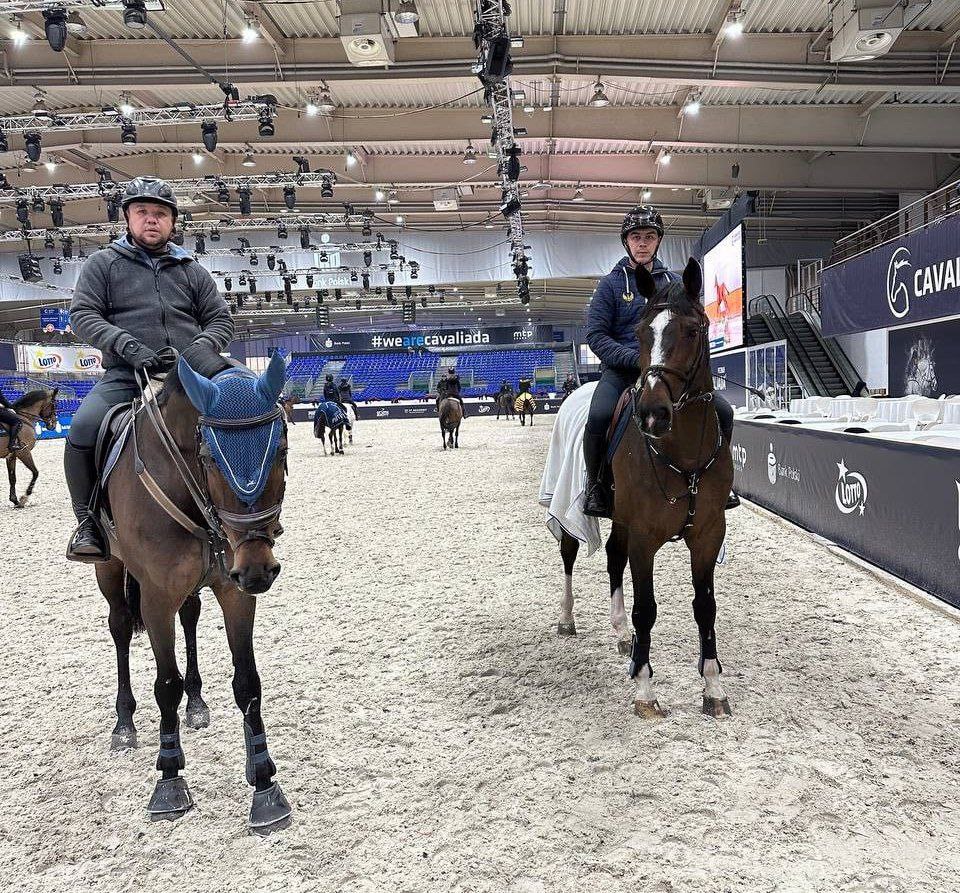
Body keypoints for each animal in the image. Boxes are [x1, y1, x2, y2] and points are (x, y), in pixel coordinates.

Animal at [91, 347, 292, 832]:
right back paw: (124, 724)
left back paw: (196, 702)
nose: (258, 569)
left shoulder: (234, 591)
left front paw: (263, 782)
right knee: (120, 628)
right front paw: (168, 780)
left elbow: (248, 681)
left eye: (280, 448)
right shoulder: (156, 597)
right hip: (109, 568)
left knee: (191, 617)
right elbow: (165, 683)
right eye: (210, 457)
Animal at [554, 258, 734, 719]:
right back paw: (567, 619)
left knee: (612, 558)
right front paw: (645, 690)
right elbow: (647, 609)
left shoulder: (708, 534)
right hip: (573, 514)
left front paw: (713, 687)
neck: (682, 454)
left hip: (620, 519)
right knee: (568, 556)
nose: (653, 414)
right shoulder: (644, 537)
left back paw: (621, 635)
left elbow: (705, 607)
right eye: (639, 333)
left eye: (693, 330)